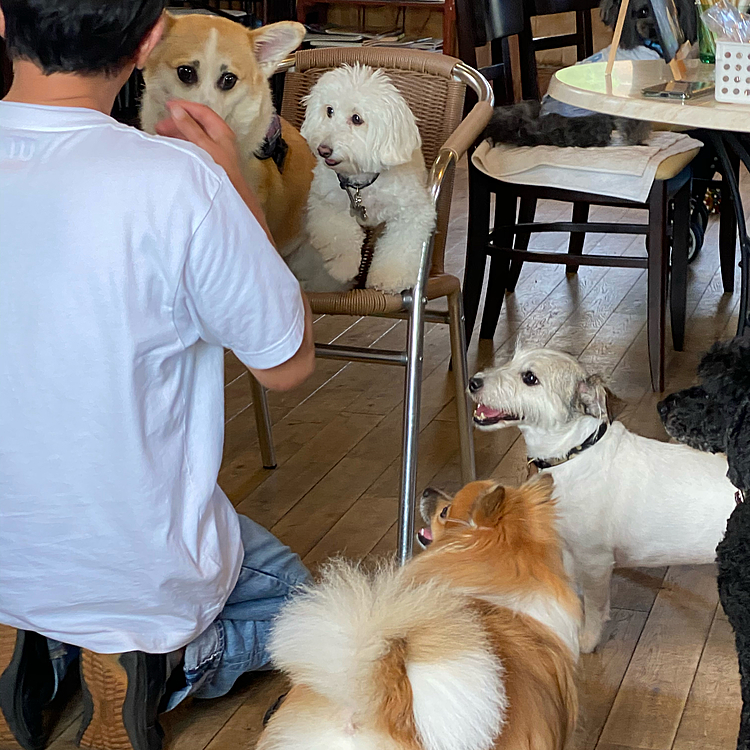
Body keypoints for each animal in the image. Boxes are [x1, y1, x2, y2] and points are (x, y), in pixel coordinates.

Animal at [290, 64, 440, 296]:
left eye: (356, 119)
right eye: (329, 110)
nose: (324, 150)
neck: (362, 184)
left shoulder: (414, 212)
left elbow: (399, 246)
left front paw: (389, 278)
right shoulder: (325, 203)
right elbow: (340, 234)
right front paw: (343, 267)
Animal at [470, 350, 740, 656]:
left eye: (530, 378)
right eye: (512, 358)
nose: (472, 382)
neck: (572, 456)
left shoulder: (594, 559)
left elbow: (594, 606)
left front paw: (586, 641)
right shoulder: (570, 550)